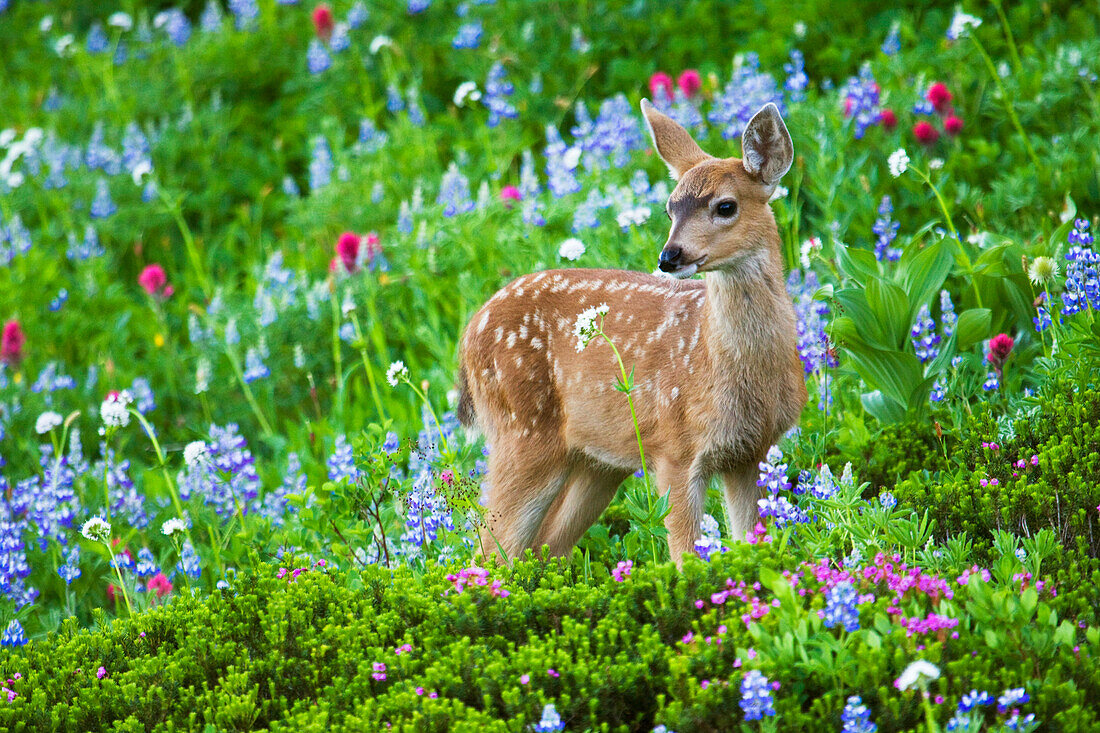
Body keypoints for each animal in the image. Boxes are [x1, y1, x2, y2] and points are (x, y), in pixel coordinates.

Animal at [455, 98, 809, 563]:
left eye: (726, 206)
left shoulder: (749, 452)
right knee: (488, 555)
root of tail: (467, 336)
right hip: (522, 431)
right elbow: (685, 558)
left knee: (545, 546)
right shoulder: (675, 449)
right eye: (670, 208)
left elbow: (751, 542)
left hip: (596, 463)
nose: (669, 256)